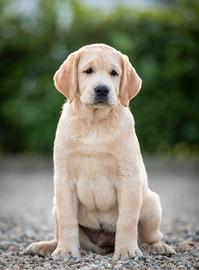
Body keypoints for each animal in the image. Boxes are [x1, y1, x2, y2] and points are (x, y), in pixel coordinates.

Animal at [26, 43, 174, 260]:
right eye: (88, 71)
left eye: (114, 73)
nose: (102, 89)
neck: (94, 124)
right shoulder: (63, 179)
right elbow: (68, 220)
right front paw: (65, 250)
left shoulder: (129, 178)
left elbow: (127, 221)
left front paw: (126, 250)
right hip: (54, 207)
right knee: (62, 231)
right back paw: (46, 246)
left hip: (152, 204)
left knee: (150, 236)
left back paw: (158, 247)